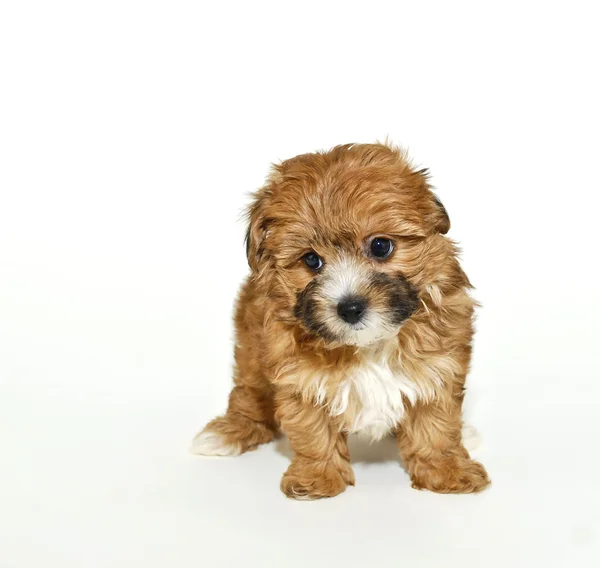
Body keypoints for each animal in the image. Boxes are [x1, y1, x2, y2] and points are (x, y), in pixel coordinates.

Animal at [192, 143, 492, 502]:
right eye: (311, 260)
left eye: (381, 246)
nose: (350, 307)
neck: (368, 345)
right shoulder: (298, 376)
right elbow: (312, 429)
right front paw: (317, 477)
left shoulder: (438, 366)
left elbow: (436, 426)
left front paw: (447, 470)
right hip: (251, 352)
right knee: (248, 394)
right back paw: (228, 432)